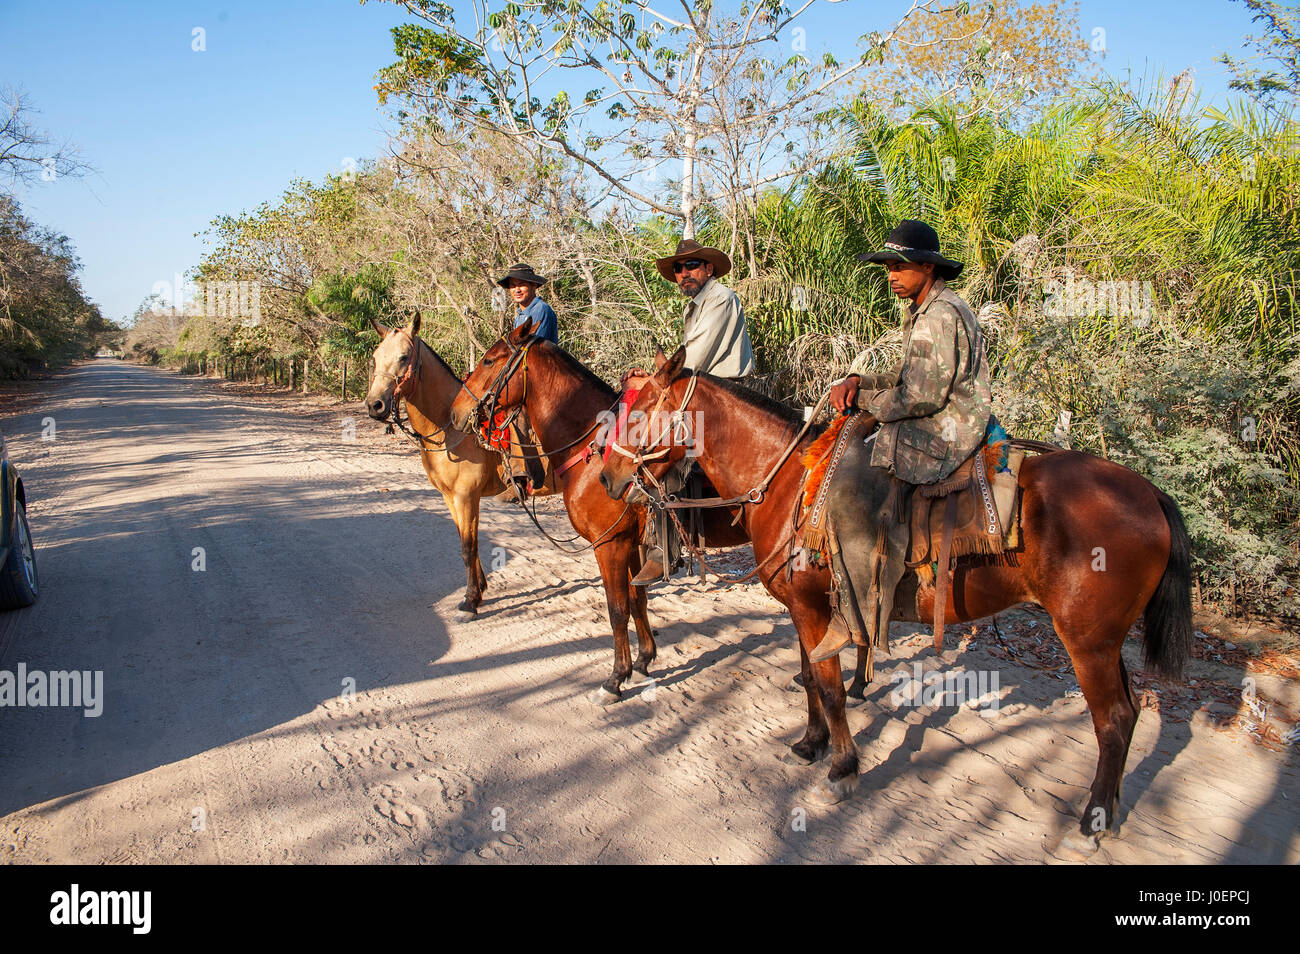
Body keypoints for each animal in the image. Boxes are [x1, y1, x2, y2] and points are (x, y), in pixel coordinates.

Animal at [366, 310, 512, 616]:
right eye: (375, 357)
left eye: (404, 357)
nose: (375, 405)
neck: (451, 427)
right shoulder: (451, 497)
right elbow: (467, 541)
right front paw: (479, 589)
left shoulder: (466, 496)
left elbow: (469, 547)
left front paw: (470, 600)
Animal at [447, 321, 748, 701]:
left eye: (488, 360)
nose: (455, 412)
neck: (593, 450)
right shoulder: (630, 544)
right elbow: (637, 599)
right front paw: (644, 659)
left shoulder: (609, 545)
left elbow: (617, 609)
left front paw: (616, 678)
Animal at [603, 345, 1190, 852]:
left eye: (641, 413)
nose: (608, 477)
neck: (789, 482)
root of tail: (1150, 493)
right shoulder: (804, 609)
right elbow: (811, 677)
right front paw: (811, 745)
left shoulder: (816, 610)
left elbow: (831, 688)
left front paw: (842, 769)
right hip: (1106, 643)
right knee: (1128, 716)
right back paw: (1106, 815)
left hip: (1087, 641)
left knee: (1112, 721)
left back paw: (1091, 825)